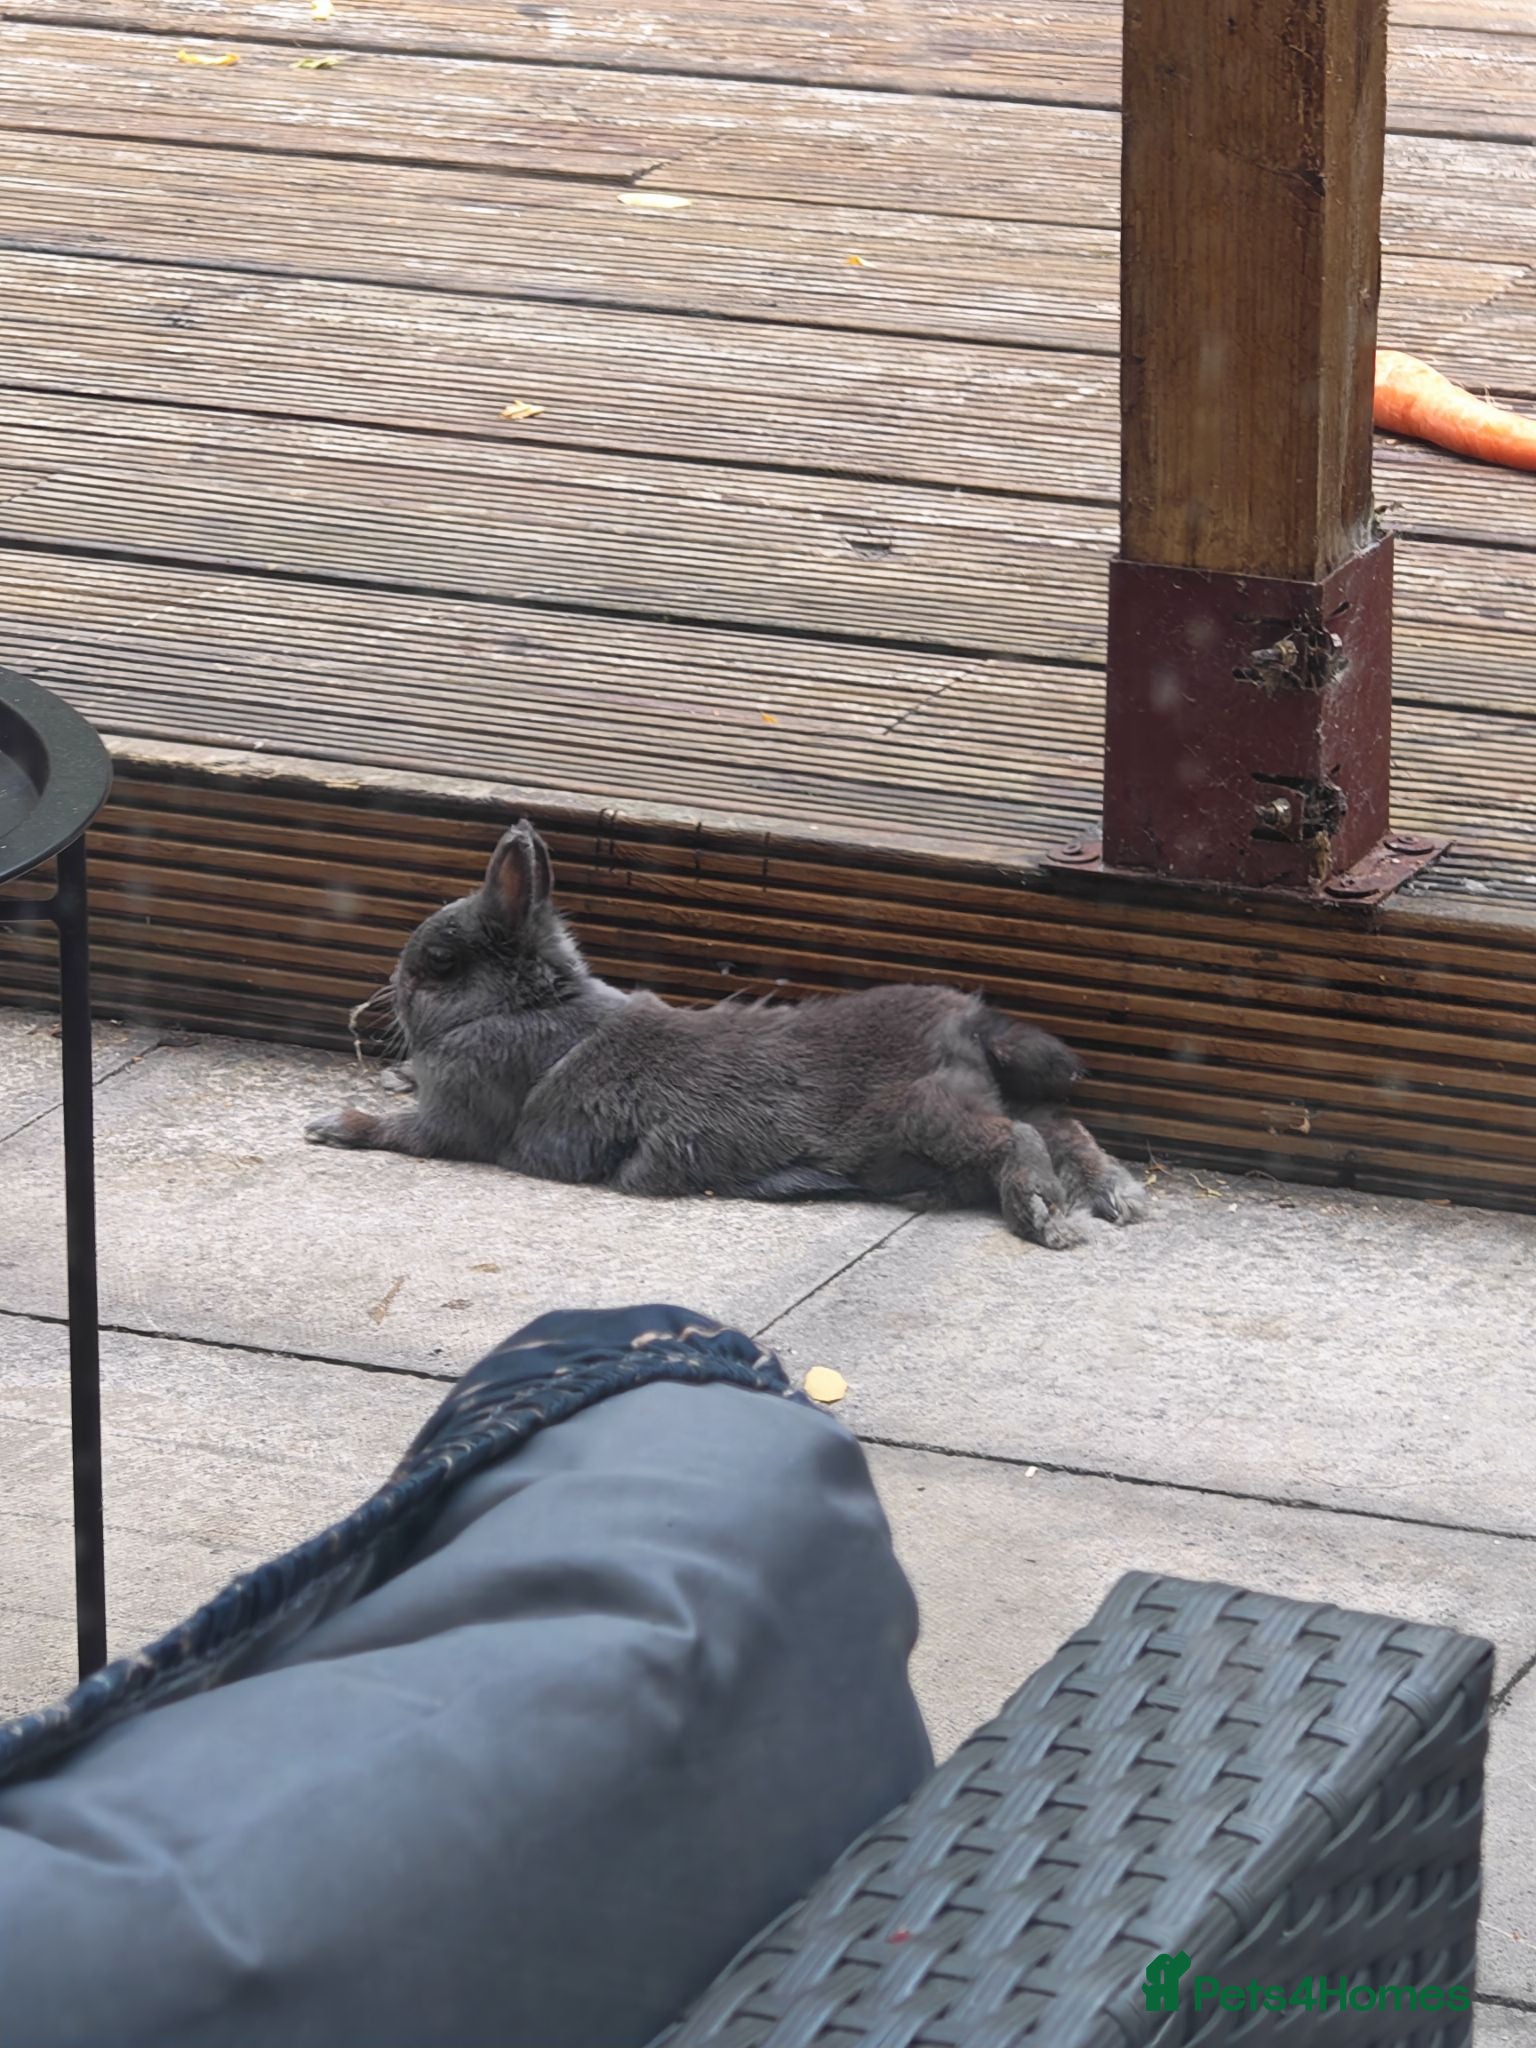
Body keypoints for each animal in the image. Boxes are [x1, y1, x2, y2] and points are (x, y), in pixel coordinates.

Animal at [306, 822, 1146, 1248]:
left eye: (441, 963)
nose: (393, 988)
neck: (525, 1006)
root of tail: (965, 1023)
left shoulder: (458, 1117)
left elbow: (404, 1132)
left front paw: (333, 1125)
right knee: (1062, 1126)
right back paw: (1117, 1198)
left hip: (927, 1114)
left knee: (1018, 1137)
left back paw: (1041, 1214)